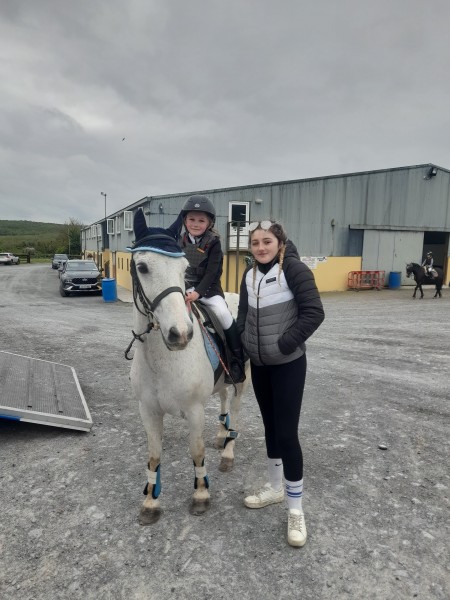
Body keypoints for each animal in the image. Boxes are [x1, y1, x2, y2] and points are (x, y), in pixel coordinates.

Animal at [126, 245, 248, 524]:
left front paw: (201, 495)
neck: (163, 360)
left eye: (184, 269)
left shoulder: (194, 410)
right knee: (224, 399)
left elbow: (197, 451)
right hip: (221, 381)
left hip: (241, 378)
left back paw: (228, 451)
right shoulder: (148, 410)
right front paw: (150, 502)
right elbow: (154, 455)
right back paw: (221, 435)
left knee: (235, 410)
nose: (180, 333)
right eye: (142, 267)